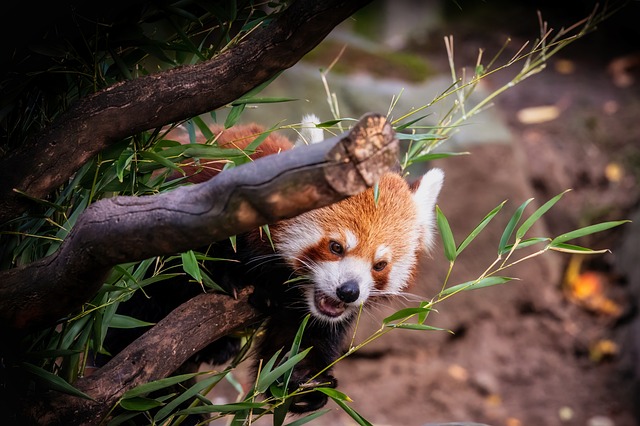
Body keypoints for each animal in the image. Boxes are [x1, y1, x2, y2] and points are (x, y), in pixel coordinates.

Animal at [104, 115, 444, 414]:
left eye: (379, 265)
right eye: (336, 247)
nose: (348, 291)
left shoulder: (310, 314)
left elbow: (295, 344)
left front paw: (303, 382)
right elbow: (172, 273)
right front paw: (230, 277)